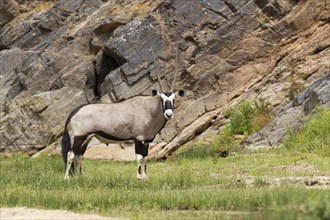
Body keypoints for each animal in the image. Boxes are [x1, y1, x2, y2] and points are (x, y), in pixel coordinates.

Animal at [60, 45, 183, 180]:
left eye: (174, 99)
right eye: (161, 99)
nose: (169, 114)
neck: (150, 109)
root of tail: (73, 112)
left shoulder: (147, 141)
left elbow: (145, 158)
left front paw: (145, 177)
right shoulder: (138, 138)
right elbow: (139, 158)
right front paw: (138, 177)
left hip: (86, 138)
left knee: (78, 157)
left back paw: (78, 178)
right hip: (79, 137)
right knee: (71, 155)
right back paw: (67, 178)